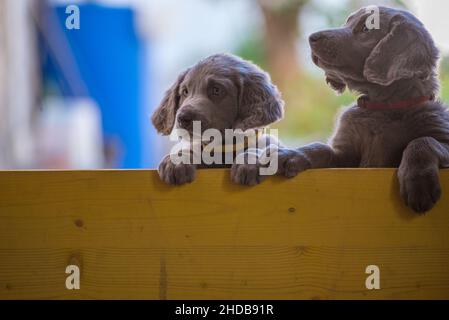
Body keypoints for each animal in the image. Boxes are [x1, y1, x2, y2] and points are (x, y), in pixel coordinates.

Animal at [150, 53, 284, 185]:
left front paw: (249, 161)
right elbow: (193, 147)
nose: (182, 118)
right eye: (185, 91)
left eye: (216, 90)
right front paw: (176, 160)